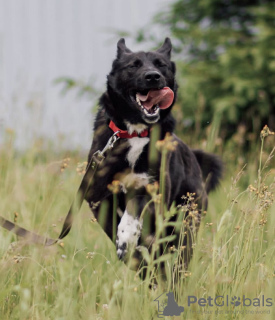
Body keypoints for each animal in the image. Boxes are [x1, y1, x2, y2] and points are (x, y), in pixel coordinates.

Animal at [85, 38, 223, 262]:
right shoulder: (98, 195)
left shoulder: (154, 189)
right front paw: (126, 243)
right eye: (133, 65)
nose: (152, 76)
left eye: (161, 65)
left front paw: (127, 237)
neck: (135, 132)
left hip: (185, 225)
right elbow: (111, 222)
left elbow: (134, 208)